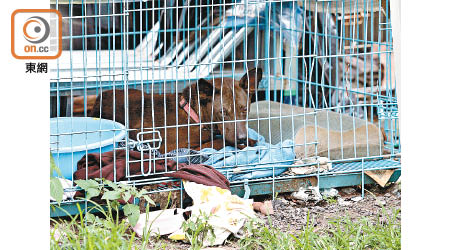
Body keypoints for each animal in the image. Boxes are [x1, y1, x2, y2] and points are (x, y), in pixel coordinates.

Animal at [89, 67, 262, 152]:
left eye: (245, 109)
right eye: (223, 112)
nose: (241, 138)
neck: (194, 116)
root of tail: (99, 98)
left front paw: (248, 140)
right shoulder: (174, 149)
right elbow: (219, 141)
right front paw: (242, 144)